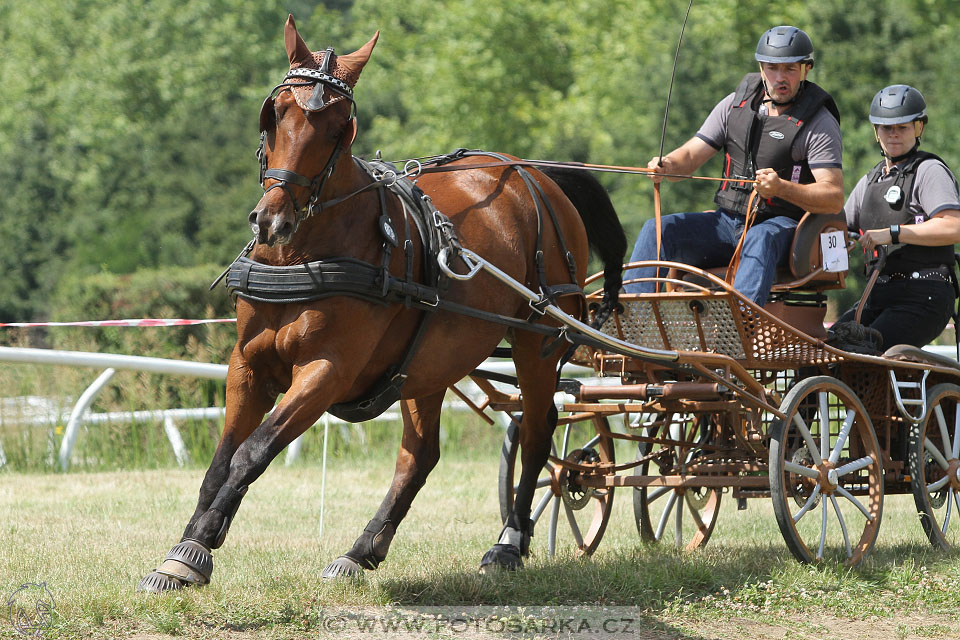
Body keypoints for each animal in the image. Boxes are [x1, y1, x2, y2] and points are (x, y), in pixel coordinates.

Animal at [139, 13, 628, 592]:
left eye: (339, 127)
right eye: (275, 113)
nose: (273, 220)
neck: (302, 253)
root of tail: (536, 175)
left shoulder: (328, 370)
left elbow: (253, 452)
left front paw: (201, 544)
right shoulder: (247, 364)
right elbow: (221, 461)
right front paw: (184, 549)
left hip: (536, 341)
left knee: (536, 430)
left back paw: (509, 542)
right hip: (431, 358)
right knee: (421, 455)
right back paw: (362, 550)